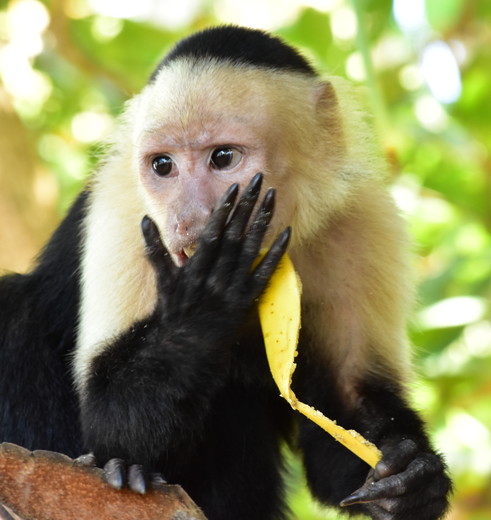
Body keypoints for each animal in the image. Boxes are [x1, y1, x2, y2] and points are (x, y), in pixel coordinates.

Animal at [0, 26, 452, 520]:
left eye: (222, 158)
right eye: (163, 165)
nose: (187, 220)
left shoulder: (364, 219)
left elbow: (344, 417)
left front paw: (411, 477)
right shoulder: (123, 207)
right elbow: (109, 421)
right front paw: (204, 300)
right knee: (18, 309)